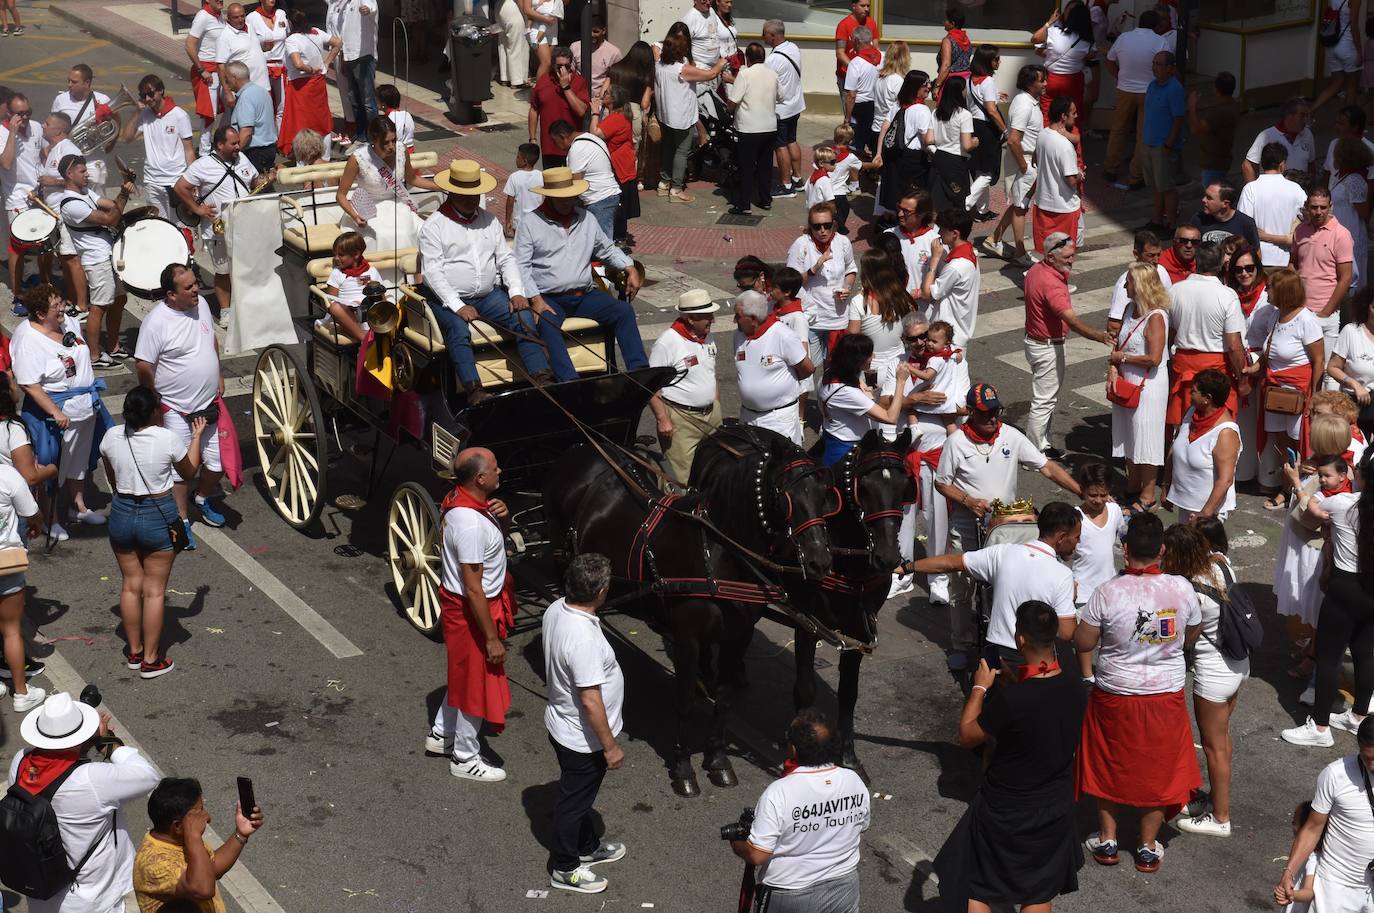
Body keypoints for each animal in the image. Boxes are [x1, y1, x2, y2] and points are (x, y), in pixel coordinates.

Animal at [546, 431, 835, 797]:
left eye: (825, 496)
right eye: (786, 497)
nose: (820, 561)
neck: (718, 553)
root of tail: (579, 449)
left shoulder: (738, 636)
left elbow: (725, 698)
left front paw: (718, 759)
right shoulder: (688, 637)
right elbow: (683, 701)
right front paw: (683, 765)